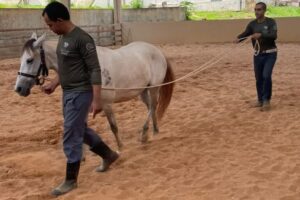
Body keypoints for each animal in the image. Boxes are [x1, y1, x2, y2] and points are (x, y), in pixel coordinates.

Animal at [15, 32, 175, 148]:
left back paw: (145, 134)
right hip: (142, 91)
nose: (19, 88)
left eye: (29, 60)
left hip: (153, 88)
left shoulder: (107, 104)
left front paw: (120, 147)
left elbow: (113, 126)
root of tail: (157, 51)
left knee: (153, 106)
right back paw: (154, 130)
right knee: (151, 108)